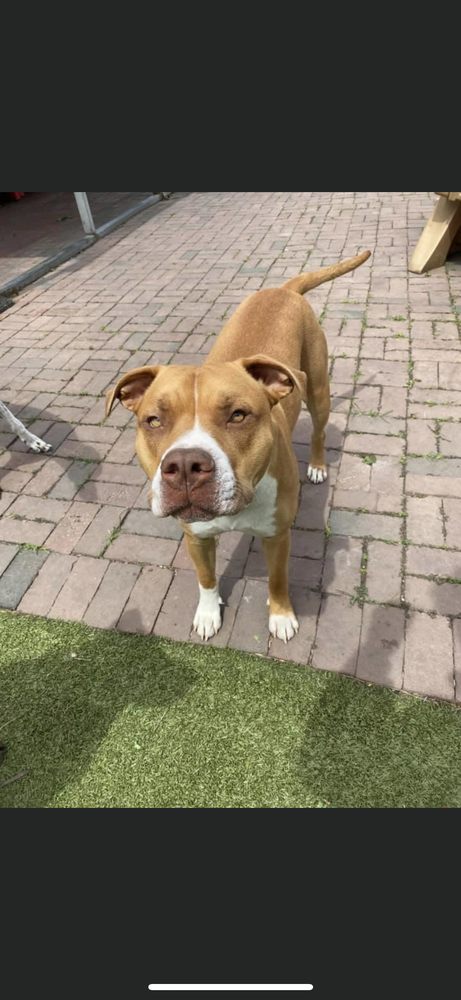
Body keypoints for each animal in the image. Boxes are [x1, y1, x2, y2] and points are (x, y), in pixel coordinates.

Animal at [106, 251, 371, 643]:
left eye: (238, 415)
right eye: (153, 420)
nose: (185, 466)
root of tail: (283, 289)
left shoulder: (278, 535)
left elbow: (277, 580)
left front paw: (281, 616)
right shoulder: (196, 537)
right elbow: (206, 578)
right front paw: (207, 613)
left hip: (318, 388)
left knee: (320, 430)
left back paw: (318, 466)